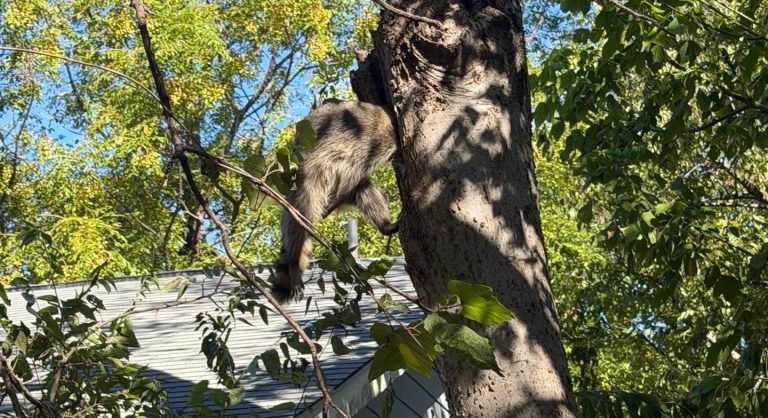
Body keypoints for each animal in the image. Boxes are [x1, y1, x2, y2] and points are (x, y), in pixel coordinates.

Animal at [272, 101, 400, 302]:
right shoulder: (369, 144)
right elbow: (354, 170)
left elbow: (356, 181)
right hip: (310, 178)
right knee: (301, 218)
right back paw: (294, 262)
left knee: (364, 191)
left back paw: (384, 224)